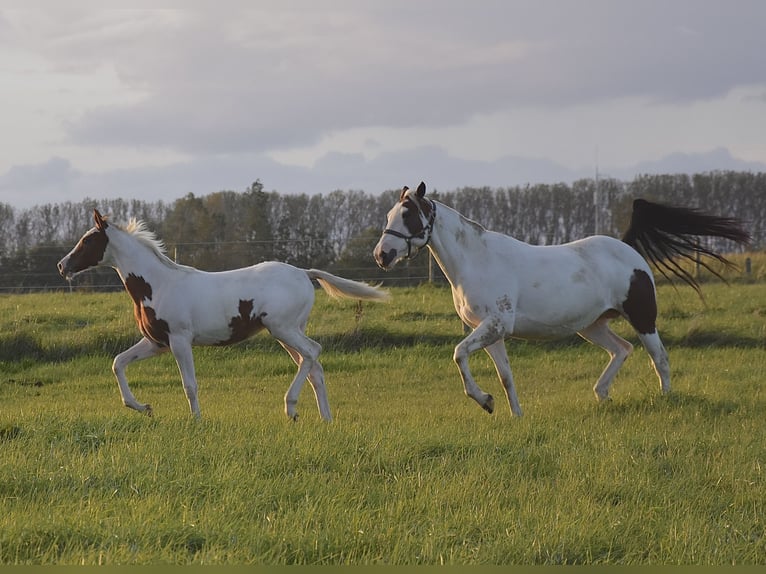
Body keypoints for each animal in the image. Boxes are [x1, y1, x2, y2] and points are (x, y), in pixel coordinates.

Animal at [58, 212, 390, 424]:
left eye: (88, 241)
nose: (62, 266)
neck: (157, 284)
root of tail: (304, 273)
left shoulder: (179, 340)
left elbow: (189, 384)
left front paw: (196, 421)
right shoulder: (156, 342)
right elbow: (118, 363)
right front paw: (143, 407)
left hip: (282, 329)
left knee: (313, 352)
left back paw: (291, 408)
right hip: (289, 331)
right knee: (313, 367)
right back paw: (325, 419)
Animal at [376, 182, 752, 416]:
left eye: (408, 215)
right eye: (389, 216)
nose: (382, 255)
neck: (478, 260)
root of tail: (627, 247)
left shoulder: (495, 325)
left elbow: (458, 354)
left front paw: (484, 401)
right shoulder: (490, 332)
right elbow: (505, 376)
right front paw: (511, 413)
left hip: (643, 318)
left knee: (658, 358)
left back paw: (664, 399)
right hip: (592, 326)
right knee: (622, 349)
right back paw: (602, 395)